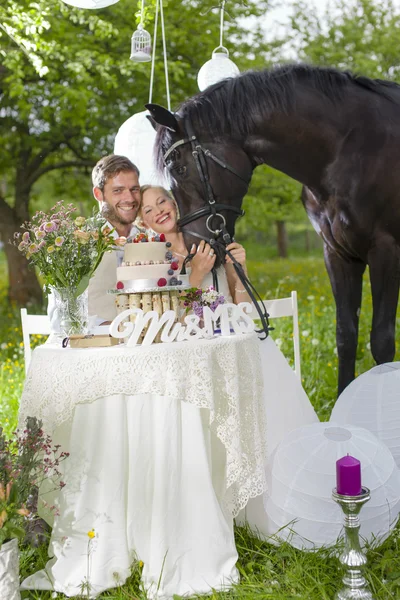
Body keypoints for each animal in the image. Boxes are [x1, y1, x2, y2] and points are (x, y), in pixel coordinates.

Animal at [147, 64, 400, 394]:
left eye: (179, 168)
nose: (193, 247)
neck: (349, 148)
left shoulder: (385, 250)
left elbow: (382, 343)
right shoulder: (338, 255)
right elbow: (346, 336)